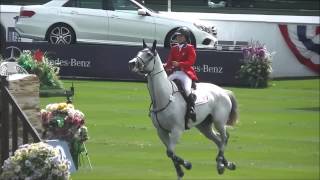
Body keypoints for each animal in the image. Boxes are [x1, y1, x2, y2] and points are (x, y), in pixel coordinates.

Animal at [129, 40, 239, 180]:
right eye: (139, 52)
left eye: (148, 54)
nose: (132, 63)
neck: (165, 97)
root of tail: (224, 91)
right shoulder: (161, 131)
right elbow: (170, 153)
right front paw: (180, 172)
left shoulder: (177, 130)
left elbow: (170, 152)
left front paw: (187, 165)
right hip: (204, 126)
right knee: (219, 140)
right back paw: (225, 164)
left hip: (219, 121)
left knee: (224, 137)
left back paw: (221, 164)